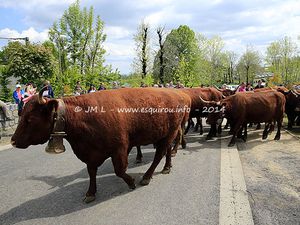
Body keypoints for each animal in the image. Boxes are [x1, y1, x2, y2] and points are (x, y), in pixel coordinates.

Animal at [11, 87, 191, 203]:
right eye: (21, 114)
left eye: (30, 119)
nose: (13, 141)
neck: (84, 115)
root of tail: (178, 95)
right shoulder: (91, 154)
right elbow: (91, 172)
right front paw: (90, 193)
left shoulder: (119, 149)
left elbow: (119, 171)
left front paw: (131, 182)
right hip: (164, 135)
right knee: (166, 151)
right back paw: (167, 168)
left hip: (169, 134)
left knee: (159, 154)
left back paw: (146, 177)